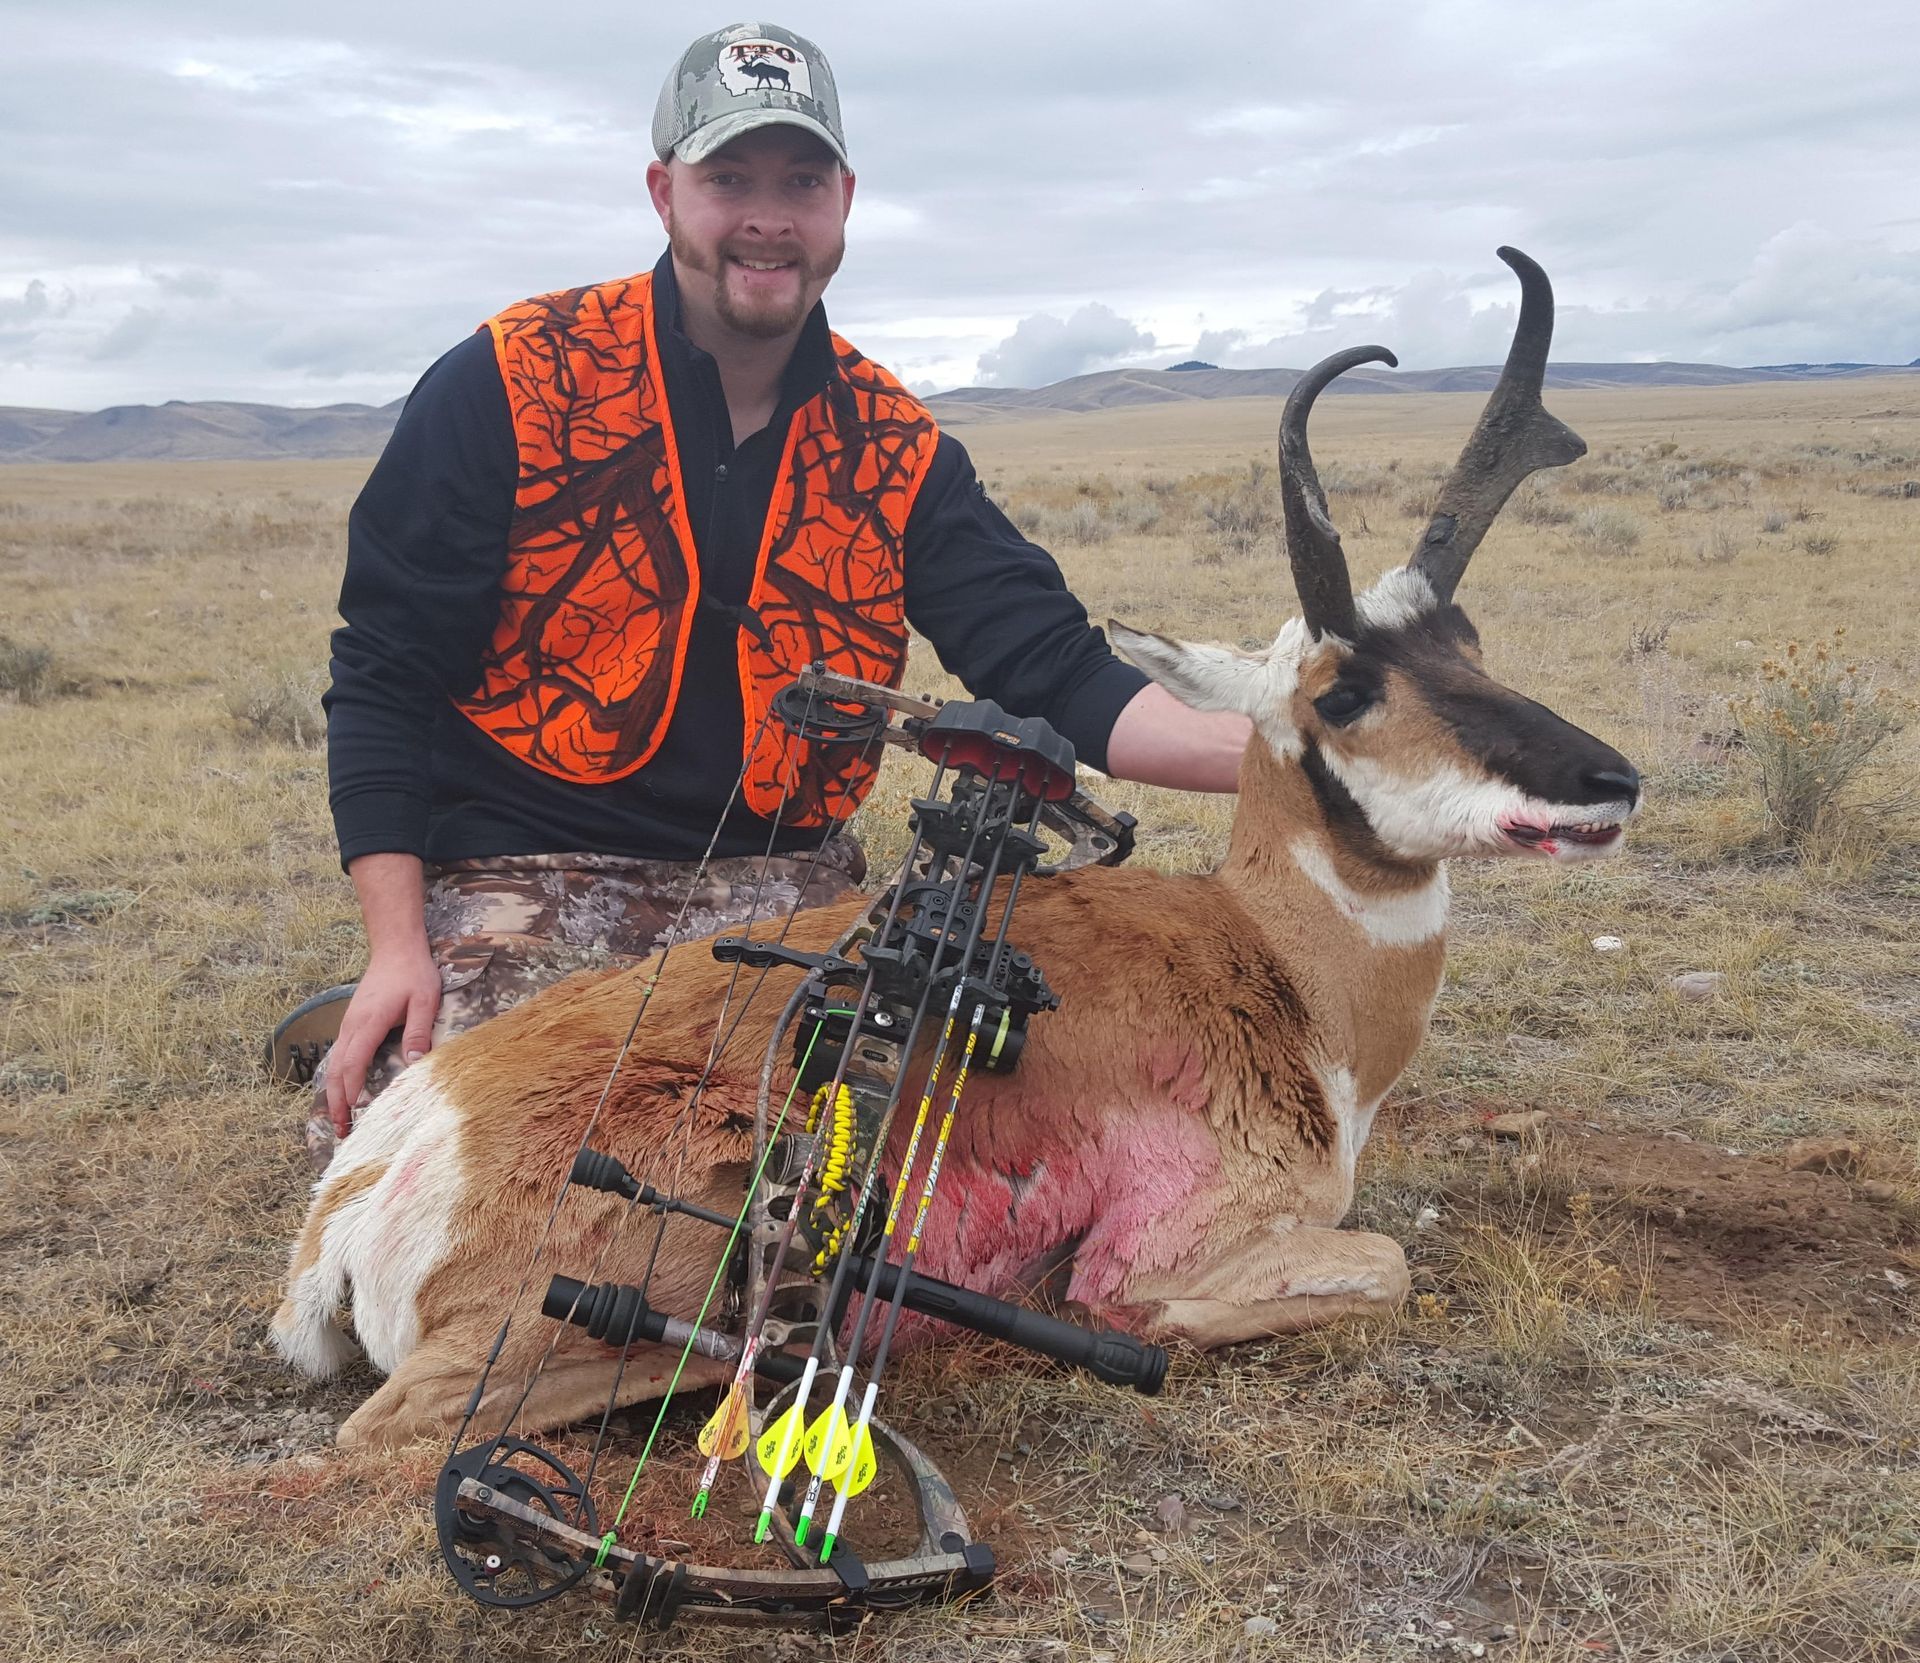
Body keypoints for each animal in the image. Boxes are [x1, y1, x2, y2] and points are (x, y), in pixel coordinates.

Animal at [275, 249, 1638, 1450]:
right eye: (1344, 691)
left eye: (1468, 640)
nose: (1610, 781)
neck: (1272, 963)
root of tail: (382, 1161)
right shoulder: (1182, 1246)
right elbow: (1374, 1263)